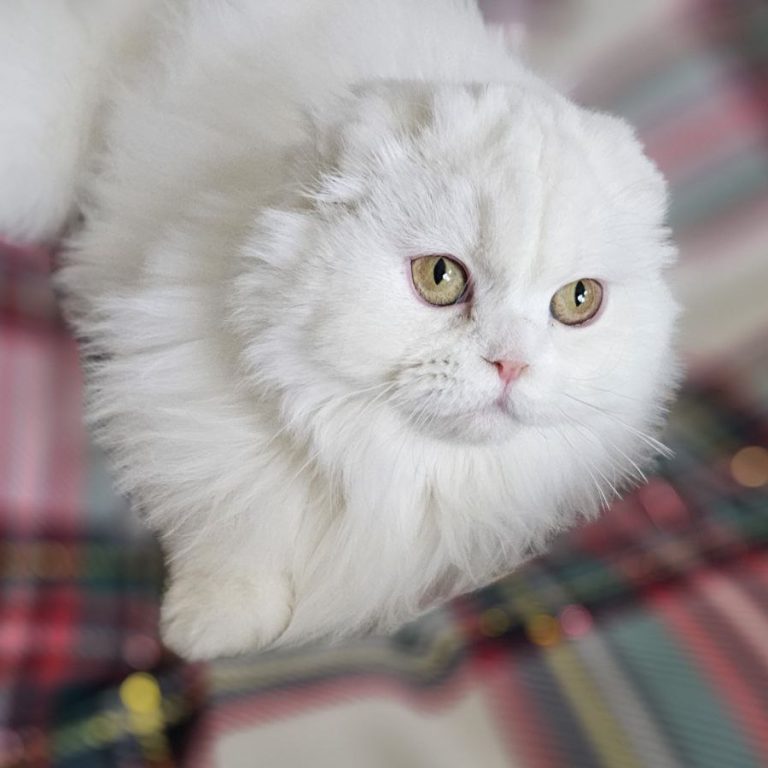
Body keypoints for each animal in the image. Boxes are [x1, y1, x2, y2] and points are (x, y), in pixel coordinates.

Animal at [0, 1, 680, 660]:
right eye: (439, 276)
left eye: (578, 299)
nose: (510, 364)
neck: (392, 468)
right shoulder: (177, 398)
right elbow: (235, 535)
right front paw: (208, 632)